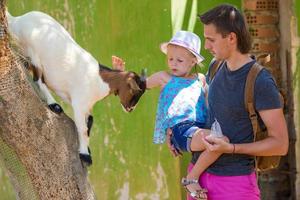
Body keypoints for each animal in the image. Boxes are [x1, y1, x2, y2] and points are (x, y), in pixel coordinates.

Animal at [7, 10, 146, 165]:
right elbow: (83, 128)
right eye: (135, 91)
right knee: (38, 79)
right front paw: (85, 155)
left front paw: (87, 149)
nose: (130, 108)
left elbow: (90, 121)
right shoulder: (79, 104)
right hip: (34, 54)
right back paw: (54, 105)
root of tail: (17, 21)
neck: (99, 80)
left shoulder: (82, 103)